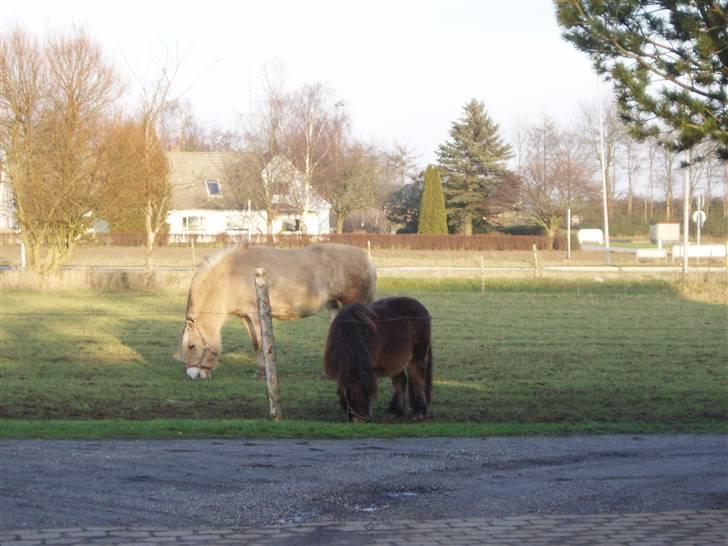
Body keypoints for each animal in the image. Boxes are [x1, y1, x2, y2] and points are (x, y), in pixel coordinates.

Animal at [179, 243, 378, 378]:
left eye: (192, 346)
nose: (192, 374)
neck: (231, 274)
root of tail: (367, 259)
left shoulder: (256, 315)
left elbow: (261, 343)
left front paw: (263, 373)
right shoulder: (246, 317)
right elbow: (255, 343)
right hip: (336, 308)